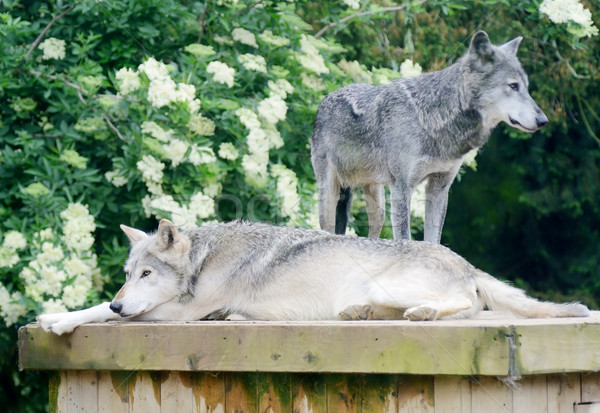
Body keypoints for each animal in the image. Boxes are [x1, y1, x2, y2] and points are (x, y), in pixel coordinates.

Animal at [312, 31, 552, 241]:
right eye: (513, 86)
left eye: (527, 88)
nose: (543, 121)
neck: (434, 120)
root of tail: (327, 98)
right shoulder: (401, 187)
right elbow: (406, 239)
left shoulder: (439, 188)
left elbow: (433, 240)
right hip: (330, 193)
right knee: (326, 229)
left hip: (377, 202)